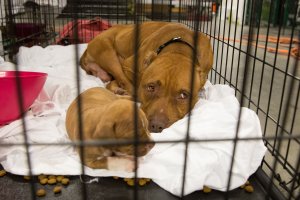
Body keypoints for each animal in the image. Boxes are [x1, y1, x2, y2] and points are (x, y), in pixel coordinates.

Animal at [79, 21, 213, 133]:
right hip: (107, 53)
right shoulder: (128, 66)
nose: (156, 125)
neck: (178, 49)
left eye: (183, 95)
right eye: (150, 87)